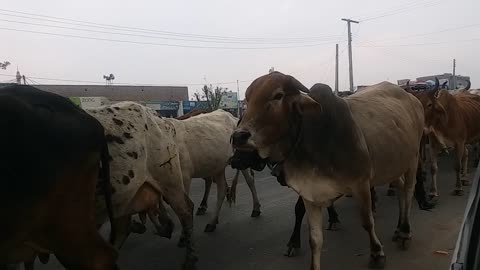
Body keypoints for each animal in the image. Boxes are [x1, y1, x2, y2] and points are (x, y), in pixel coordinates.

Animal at [232, 71, 424, 270]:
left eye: (278, 95)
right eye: (247, 98)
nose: (239, 136)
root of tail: (412, 98)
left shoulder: (361, 184)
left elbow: (367, 222)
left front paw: (377, 254)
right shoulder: (309, 193)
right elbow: (315, 239)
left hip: (413, 158)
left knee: (409, 190)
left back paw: (405, 232)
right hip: (392, 165)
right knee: (400, 188)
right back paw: (398, 228)